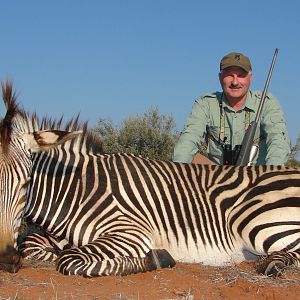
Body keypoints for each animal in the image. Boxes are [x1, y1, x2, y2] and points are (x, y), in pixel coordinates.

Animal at [0, 81, 298, 278]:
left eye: (26, 183)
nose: (4, 258)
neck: (82, 189)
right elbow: (32, 243)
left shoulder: (130, 232)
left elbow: (69, 260)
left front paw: (155, 258)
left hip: (255, 220)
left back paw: (274, 263)